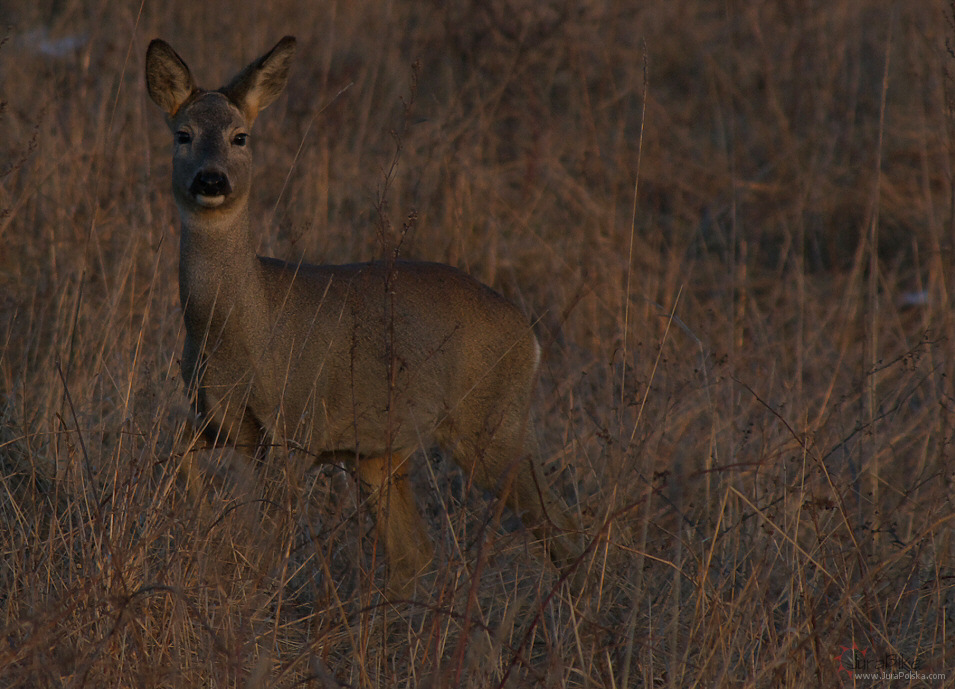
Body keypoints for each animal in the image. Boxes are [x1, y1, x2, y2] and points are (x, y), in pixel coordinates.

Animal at [148, 33, 584, 592]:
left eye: (240, 137)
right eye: (183, 134)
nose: (210, 179)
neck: (242, 330)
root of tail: (528, 336)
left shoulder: (295, 423)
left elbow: (271, 537)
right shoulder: (220, 420)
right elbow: (175, 452)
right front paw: (204, 526)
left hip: (492, 423)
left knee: (561, 525)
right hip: (379, 451)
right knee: (416, 552)